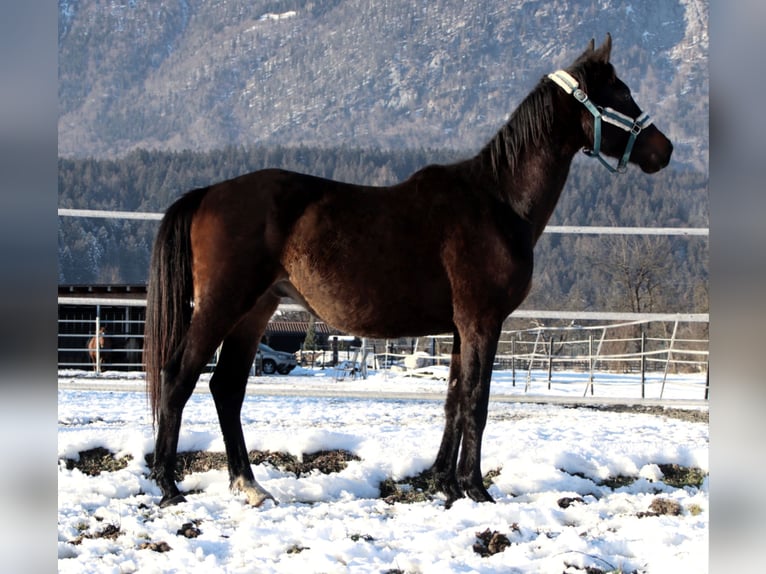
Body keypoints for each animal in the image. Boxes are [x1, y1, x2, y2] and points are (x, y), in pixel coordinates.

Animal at [144, 37, 672, 508]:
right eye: (621, 94)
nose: (664, 149)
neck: (497, 201)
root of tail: (208, 193)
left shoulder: (460, 328)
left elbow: (454, 400)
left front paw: (445, 483)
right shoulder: (483, 322)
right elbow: (476, 402)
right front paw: (475, 488)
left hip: (255, 311)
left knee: (226, 388)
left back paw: (249, 486)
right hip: (222, 305)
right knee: (179, 378)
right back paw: (168, 487)